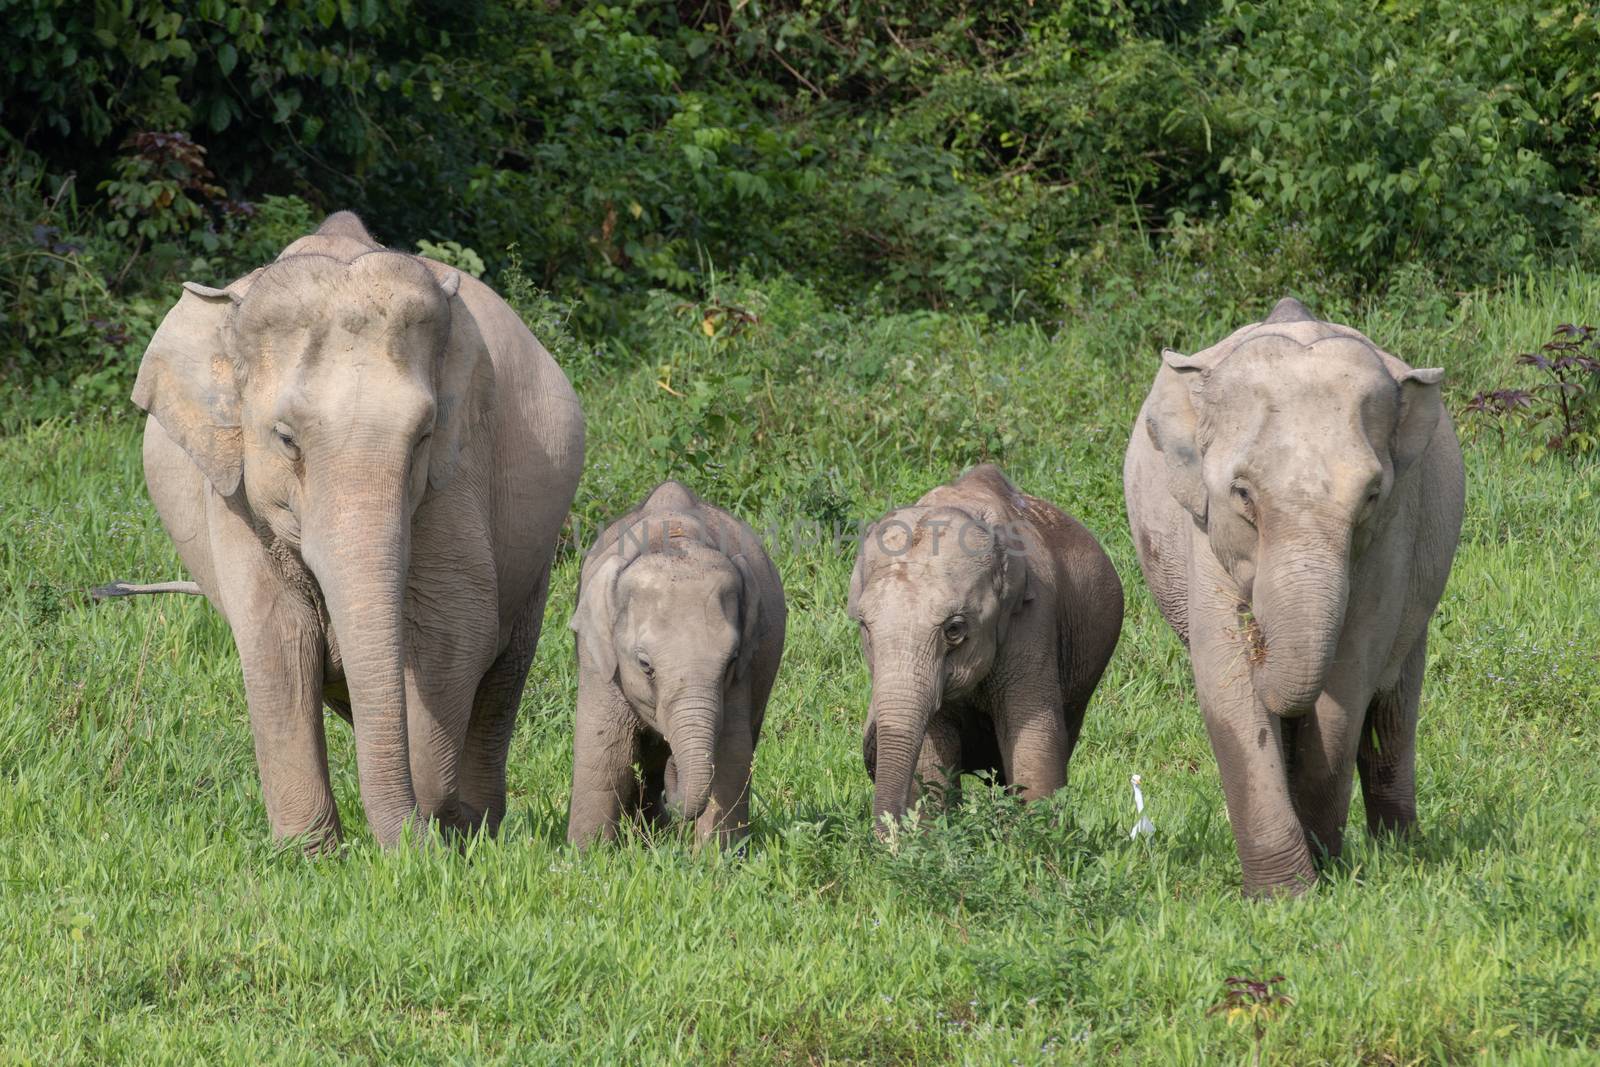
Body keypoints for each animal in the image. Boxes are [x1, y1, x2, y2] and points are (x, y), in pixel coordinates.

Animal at [126, 212, 588, 851]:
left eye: (424, 437)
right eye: (285, 438)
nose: (418, 844)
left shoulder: (456, 475)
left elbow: (454, 629)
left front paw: (434, 828)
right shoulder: (234, 492)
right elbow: (277, 634)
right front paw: (309, 855)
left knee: (504, 672)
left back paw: (476, 827)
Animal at [569, 479, 787, 844]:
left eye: (732, 660)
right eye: (645, 665)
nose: (676, 772)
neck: (673, 536)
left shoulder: (742, 673)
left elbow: (731, 756)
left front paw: (717, 857)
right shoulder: (598, 658)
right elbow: (604, 753)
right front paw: (586, 854)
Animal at [851, 463, 1126, 831]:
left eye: (954, 629)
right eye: (864, 626)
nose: (886, 837)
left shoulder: (1032, 620)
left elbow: (1035, 736)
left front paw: (1036, 835)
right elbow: (933, 750)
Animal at [1126, 295, 1465, 895]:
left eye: (1371, 495)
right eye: (1241, 493)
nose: (1259, 632)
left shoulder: (1393, 534)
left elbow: (1347, 680)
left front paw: (1322, 869)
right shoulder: (1202, 532)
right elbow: (1226, 685)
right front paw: (1286, 896)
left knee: (1395, 705)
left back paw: (1404, 850)